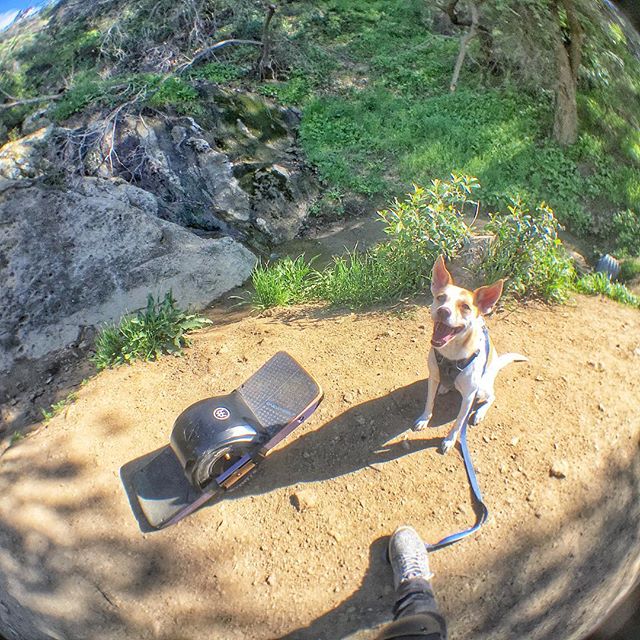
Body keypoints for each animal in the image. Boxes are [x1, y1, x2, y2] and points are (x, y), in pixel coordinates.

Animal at [412, 256, 528, 456]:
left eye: (465, 307)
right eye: (440, 298)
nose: (443, 311)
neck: (450, 354)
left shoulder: (468, 397)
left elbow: (459, 422)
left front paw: (449, 440)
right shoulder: (432, 378)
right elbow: (429, 402)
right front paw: (424, 419)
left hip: (481, 388)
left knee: (492, 397)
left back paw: (479, 413)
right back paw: (445, 388)